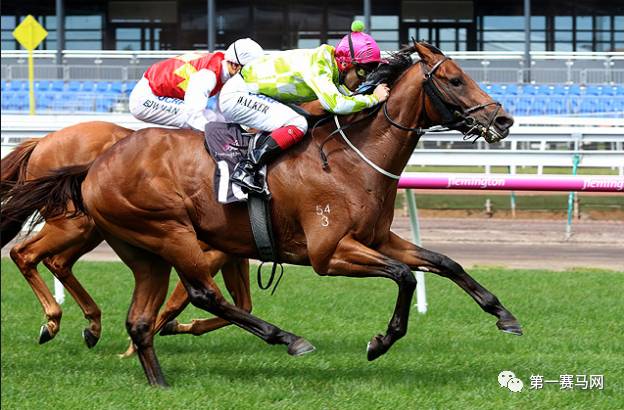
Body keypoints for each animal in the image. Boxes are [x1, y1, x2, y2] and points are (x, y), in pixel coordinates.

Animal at [1, 121, 254, 350]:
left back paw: (90, 325)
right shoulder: (204, 251)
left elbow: (243, 305)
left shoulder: (231, 254)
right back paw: (54, 319)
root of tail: (42, 140)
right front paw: (140, 341)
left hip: (90, 230)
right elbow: (181, 301)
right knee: (24, 253)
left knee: (58, 262)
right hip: (74, 223)